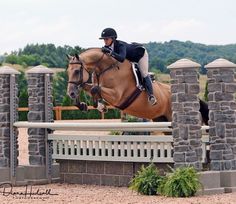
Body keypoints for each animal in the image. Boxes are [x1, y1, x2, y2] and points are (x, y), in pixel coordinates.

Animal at [66, 48, 208, 124]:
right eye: (68, 71)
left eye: (77, 71)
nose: (70, 93)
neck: (107, 68)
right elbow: (88, 87)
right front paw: (84, 105)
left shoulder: (117, 96)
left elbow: (94, 88)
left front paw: (100, 106)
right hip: (160, 119)